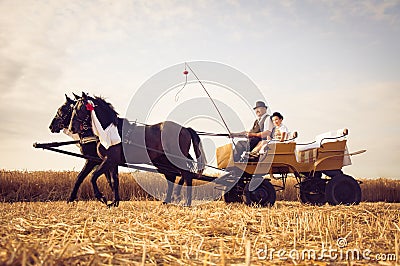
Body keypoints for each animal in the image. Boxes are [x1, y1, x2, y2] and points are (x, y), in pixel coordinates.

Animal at [69, 92, 205, 207]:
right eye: (72, 109)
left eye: (80, 108)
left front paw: (102, 197)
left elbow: (93, 176)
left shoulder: (108, 160)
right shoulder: (112, 162)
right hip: (162, 161)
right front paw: (114, 202)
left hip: (175, 159)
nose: (71, 128)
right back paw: (167, 201)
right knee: (172, 177)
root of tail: (185, 128)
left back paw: (186, 202)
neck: (109, 130)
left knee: (186, 175)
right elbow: (114, 181)